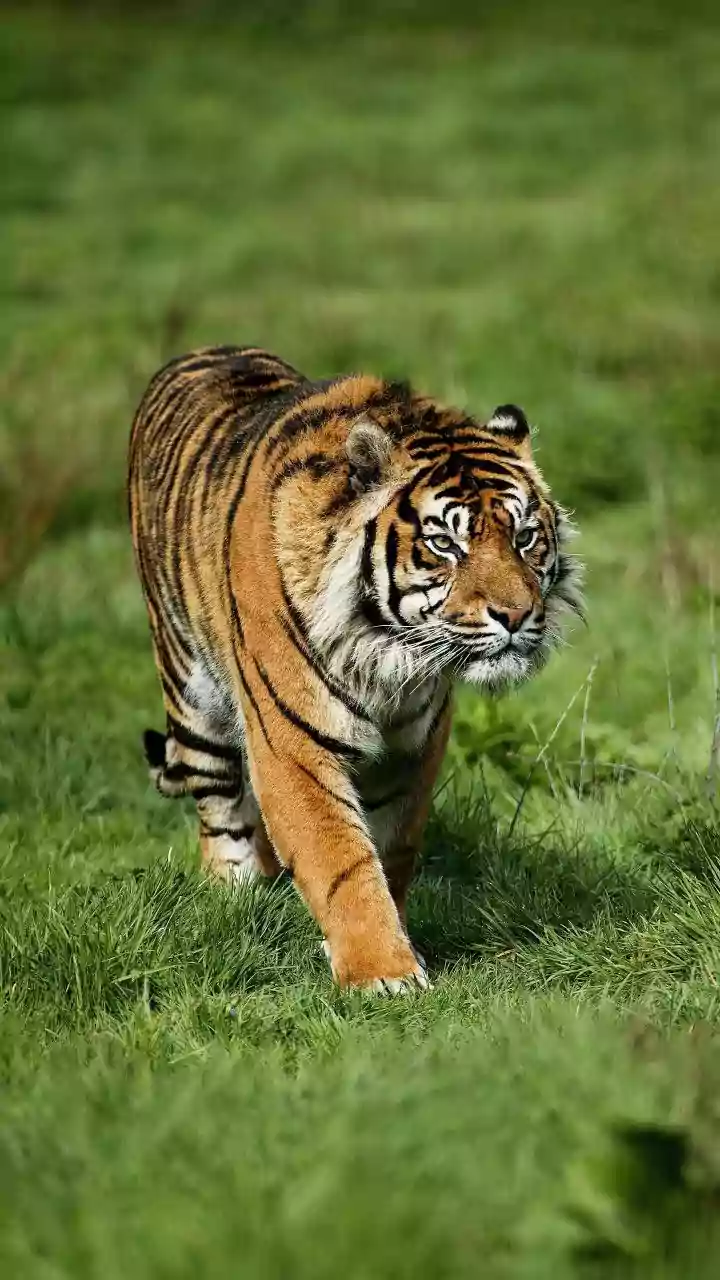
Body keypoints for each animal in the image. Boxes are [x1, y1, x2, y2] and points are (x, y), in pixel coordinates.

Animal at [128, 346, 582, 991]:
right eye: (445, 544)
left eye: (524, 537)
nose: (516, 616)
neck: (388, 650)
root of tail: (201, 352)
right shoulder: (293, 744)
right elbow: (338, 857)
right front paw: (382, 974)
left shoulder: (413, 747)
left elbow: (390, 851)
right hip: (193, 699)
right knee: (219, 813)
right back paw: (237, 901)